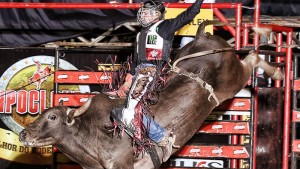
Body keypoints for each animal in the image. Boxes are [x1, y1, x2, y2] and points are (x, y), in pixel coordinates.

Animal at [19, 21, 284, 169]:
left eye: (52, 117)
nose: (23, 134)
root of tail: (201, 36)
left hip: (233, 79)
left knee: (252, 59)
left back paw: (273, 62)